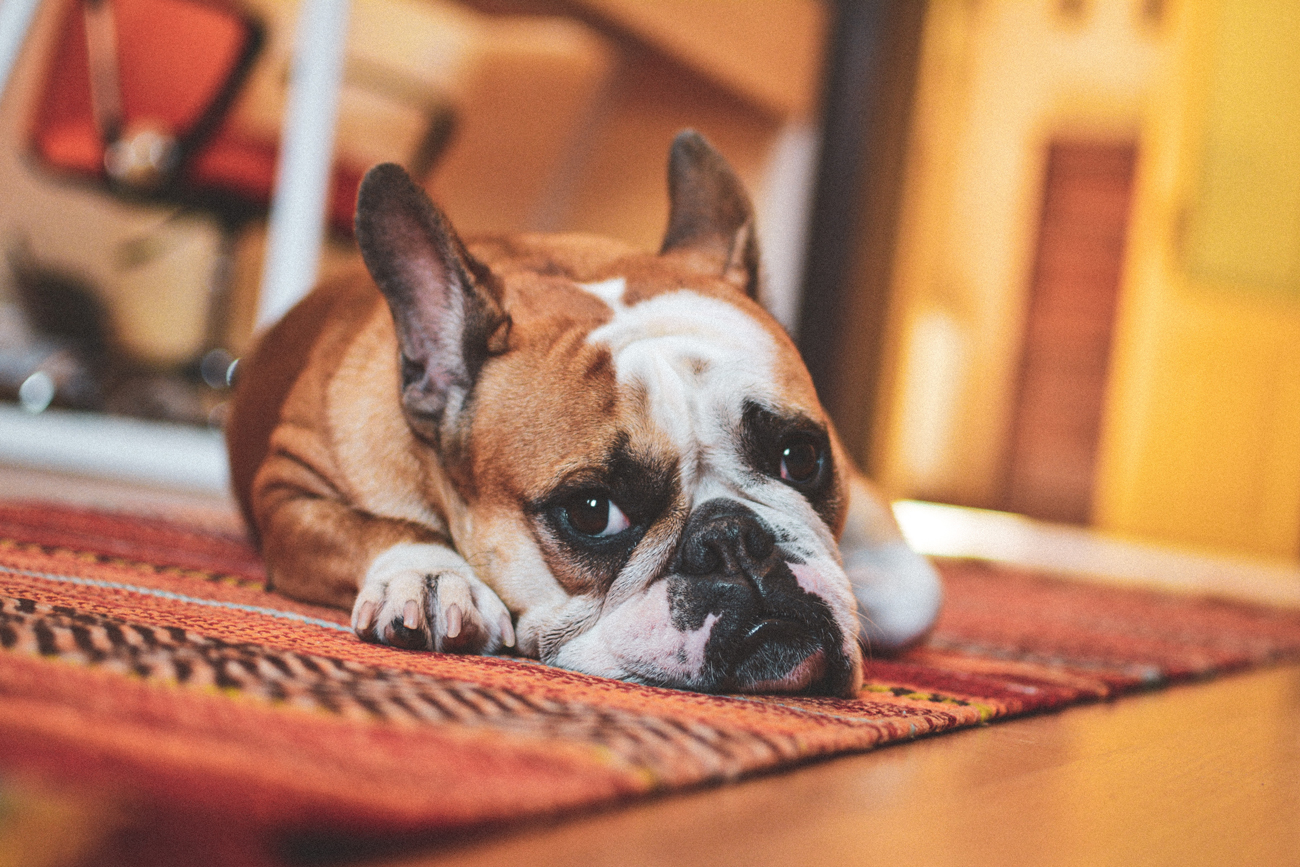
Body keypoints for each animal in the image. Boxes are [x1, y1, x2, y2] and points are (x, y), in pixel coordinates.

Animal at [228, 130, 941, 696]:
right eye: (593, 513)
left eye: (801, 457)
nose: (734, 538)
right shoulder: (289, 490)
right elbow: (375, 527)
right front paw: (430, 575)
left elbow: (910, 589)